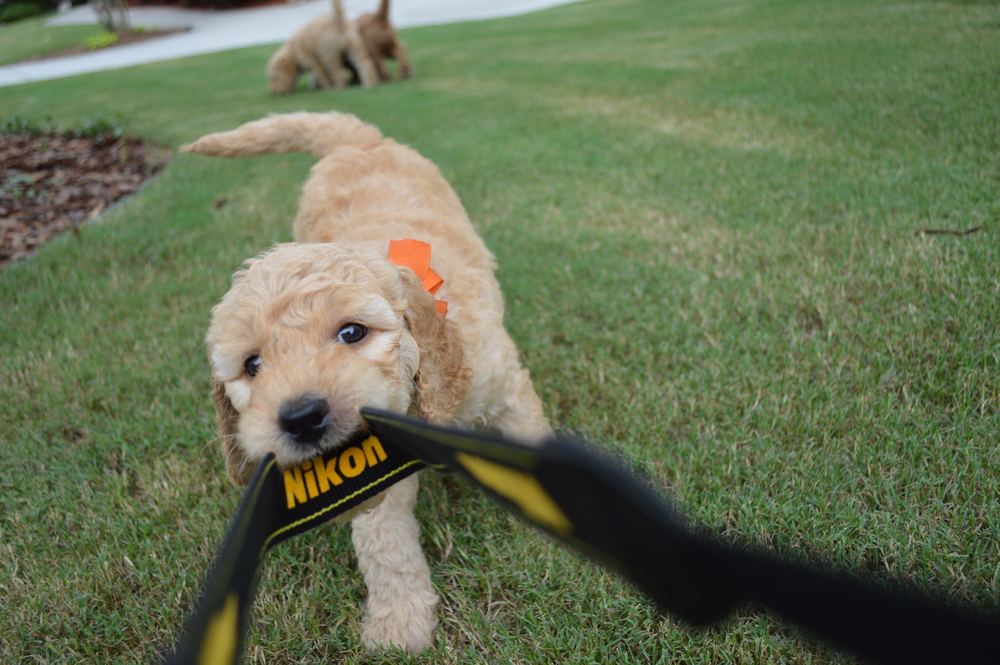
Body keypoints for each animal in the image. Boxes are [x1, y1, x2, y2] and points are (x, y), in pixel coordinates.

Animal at [184, 111, 552, 652]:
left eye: (352, 332)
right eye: (252, 365)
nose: (301, 417)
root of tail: (355, 140)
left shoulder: (501, 387)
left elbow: (530, 441)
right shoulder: (371, 470)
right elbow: (385, 542)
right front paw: (400, 622)